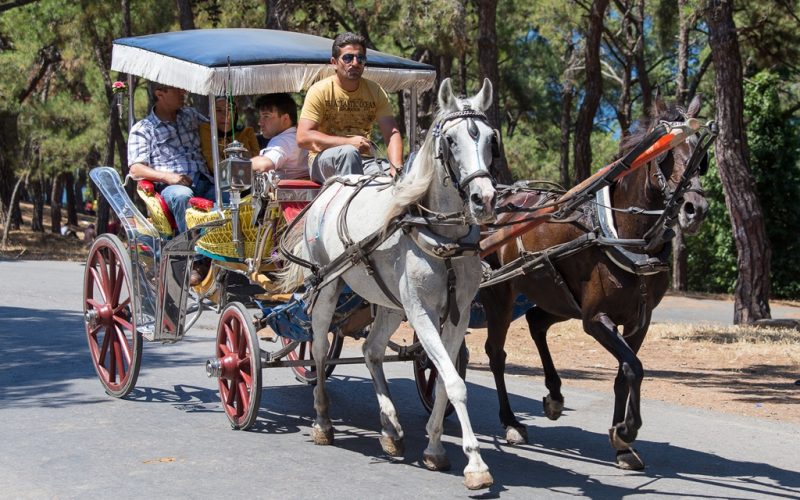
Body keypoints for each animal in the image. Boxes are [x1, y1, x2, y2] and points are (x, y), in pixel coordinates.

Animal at [280, 78, 494, 488]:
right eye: (451, 140)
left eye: (491, 138)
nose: (484, 198)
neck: (441, 236)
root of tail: (330, 187)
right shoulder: (421, 311)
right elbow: (455, 384)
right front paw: (476, 463)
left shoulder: (456, 314)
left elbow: (443, 380)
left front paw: (434, 448)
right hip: (327, 288)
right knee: (319, 351)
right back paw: (323, 422)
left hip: (389, 304)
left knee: (372, 351)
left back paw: (391, 429)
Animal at [482, 95, 712, 470]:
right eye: (664, 154)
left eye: (699, 158)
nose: (696, 209)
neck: (623, 235)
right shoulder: (595, 319)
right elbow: (634, 368)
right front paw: (627, 430)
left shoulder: (638, 321)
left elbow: (624, 373)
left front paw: (622, 443)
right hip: (499, 294)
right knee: (496, 353)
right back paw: (511, 421)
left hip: (555, 296)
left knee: (536, 322)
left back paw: (554, 395)